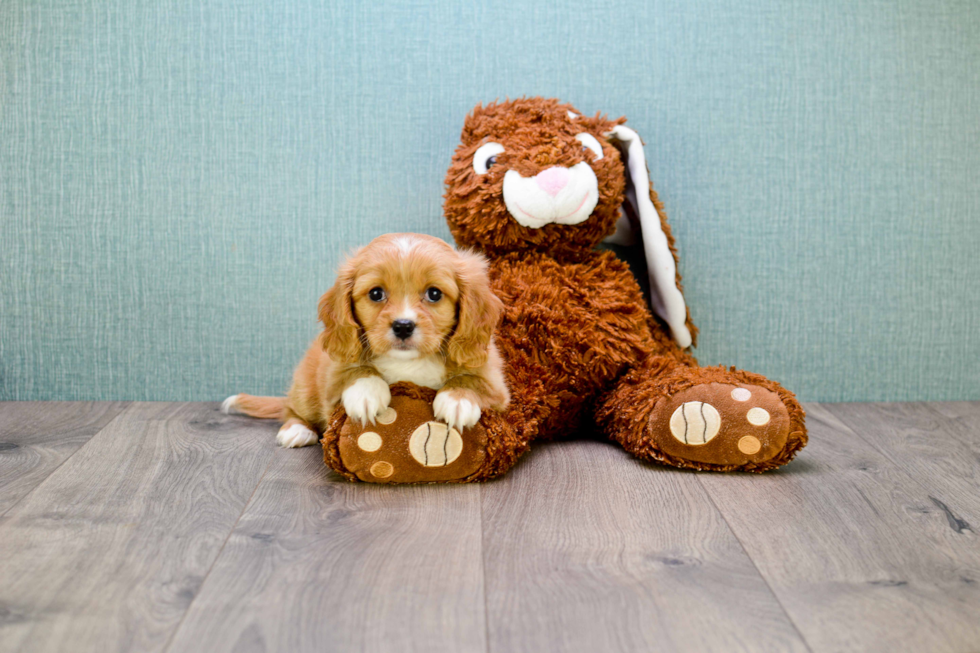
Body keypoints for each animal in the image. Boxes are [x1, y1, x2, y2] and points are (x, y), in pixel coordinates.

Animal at [223, 234, 512, 448]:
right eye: (375, 294)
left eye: (434, 294)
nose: (403, 326)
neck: (407, 364)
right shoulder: (330, 382)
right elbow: (356, 371)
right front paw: (366, 394)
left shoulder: (498, 388)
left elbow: (470, 379)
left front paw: (457, 400)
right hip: (305, 388)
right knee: (291, 409)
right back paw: (297, 430)